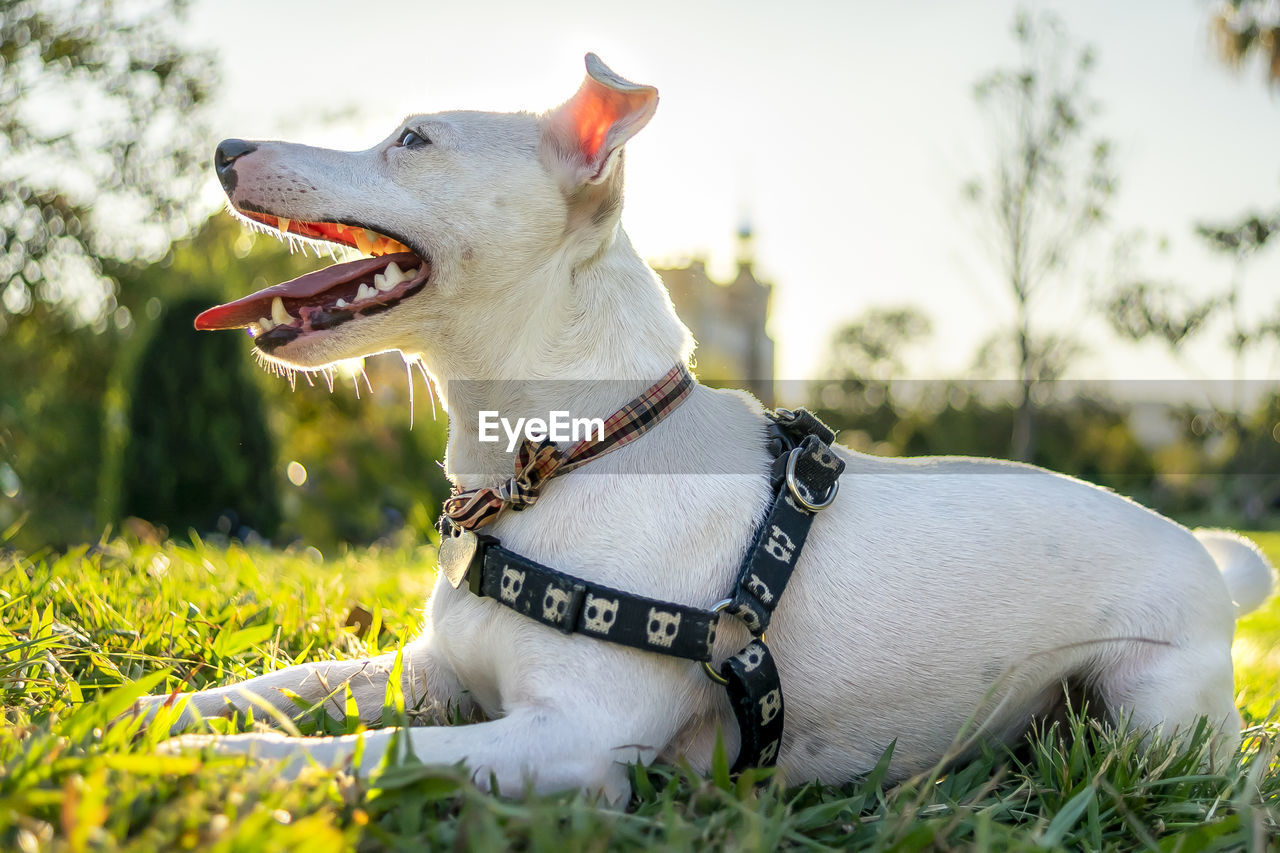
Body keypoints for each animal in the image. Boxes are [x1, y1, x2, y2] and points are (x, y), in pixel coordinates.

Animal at [137, 54, 1269, 804]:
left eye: (412, 139)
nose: (224, 148)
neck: (569, 453)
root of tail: (1206, 558)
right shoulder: (435, 672)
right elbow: (286, 687)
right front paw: (153, 713)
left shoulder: (566, 739)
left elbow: (349, 752)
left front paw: (206, 764)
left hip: (1148, 704)